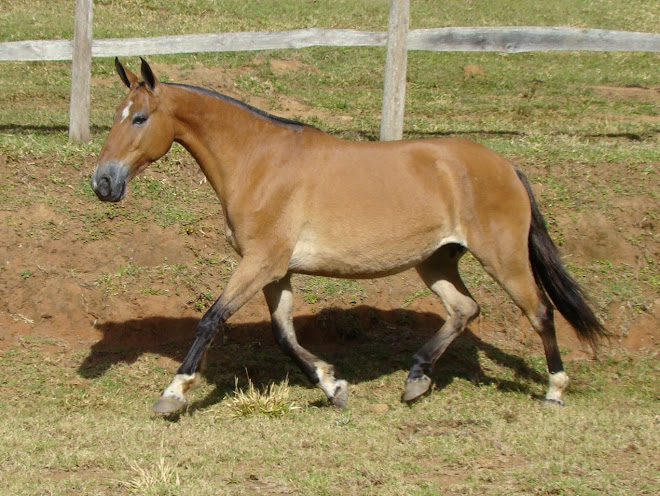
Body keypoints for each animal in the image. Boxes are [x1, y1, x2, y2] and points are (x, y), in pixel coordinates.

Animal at [90, 59, 604, 414]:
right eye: (116, 115)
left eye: (139, 118)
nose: (103, 183)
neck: (259, 161)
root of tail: (508, 168)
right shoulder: (276, 270)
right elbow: (284, 336)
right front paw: (333, 385)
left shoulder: (260, 262)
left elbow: (211, 319)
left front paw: (174, 393)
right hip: (436, 259)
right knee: (465, 309)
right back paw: (416, 378)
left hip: (502, 256)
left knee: (540, 312)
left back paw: (555, 390)